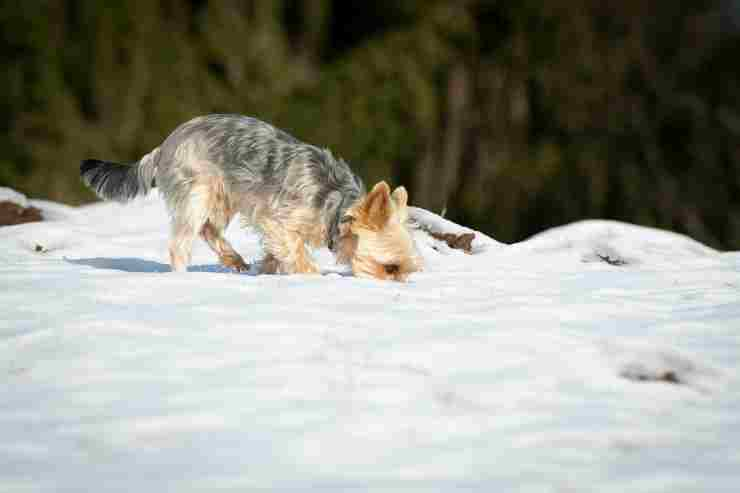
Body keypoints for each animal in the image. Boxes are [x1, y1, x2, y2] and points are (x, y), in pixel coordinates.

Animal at [81, 113, 422, 278]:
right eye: (390, 268)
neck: (335, 205)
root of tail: (164, 145)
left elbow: (276, 255)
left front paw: (266, 271)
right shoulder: (278, 220)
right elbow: (297, 253)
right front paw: (312, 276)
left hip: (222, 198)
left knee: (209, 229)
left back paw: (235, 260)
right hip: (198, 190)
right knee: (181, 243)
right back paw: (183, 279)